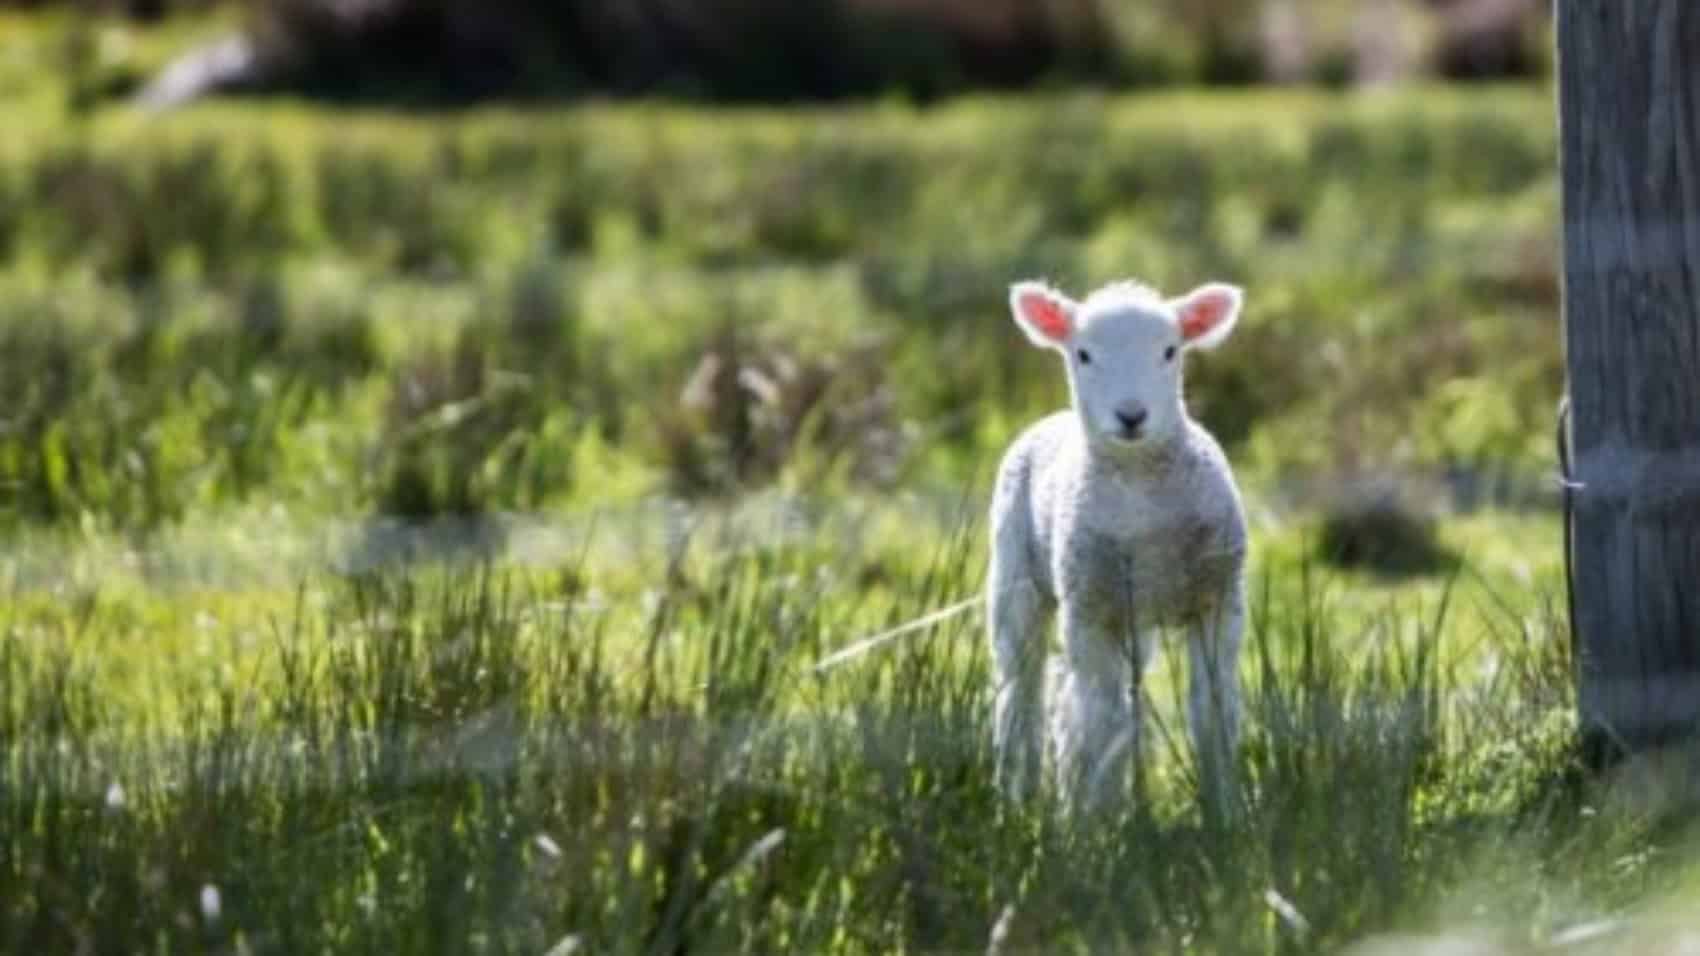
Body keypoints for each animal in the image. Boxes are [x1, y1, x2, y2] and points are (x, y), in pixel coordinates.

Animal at [988, 277, 1249, 815]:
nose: (1131, 416)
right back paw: (1018, 799)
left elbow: (1212, 712)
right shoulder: (1089, 609)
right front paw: (1094, 821)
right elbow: (1102, 722)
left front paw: (1226, 812)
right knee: (1023, 696)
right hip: (1016, 580)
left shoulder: (1218, 598)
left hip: (1134, 617)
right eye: (1083, 354)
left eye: (1170, 351)